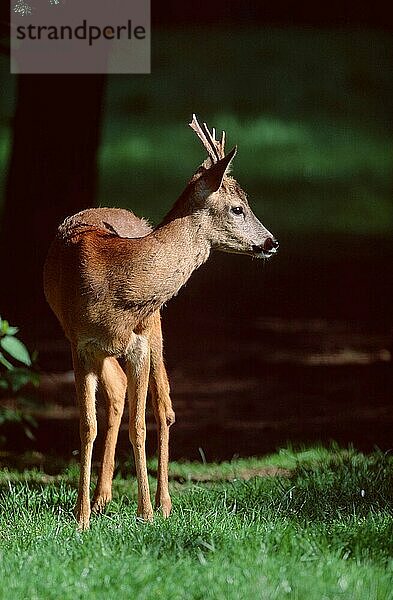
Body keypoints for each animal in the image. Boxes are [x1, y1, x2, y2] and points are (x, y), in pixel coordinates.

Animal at [43, 115, 278, 528]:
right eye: (238, 208)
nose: (271, 242)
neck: (114, 277)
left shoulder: (137, 343)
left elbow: (140, 425)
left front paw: (147, 512)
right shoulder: (80, 343)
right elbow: (86, 425)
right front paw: (81, 516)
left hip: (155, 326)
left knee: (163, 406)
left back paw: (164, 503)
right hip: (109, 345)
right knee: (118, 392)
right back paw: (102, 498)